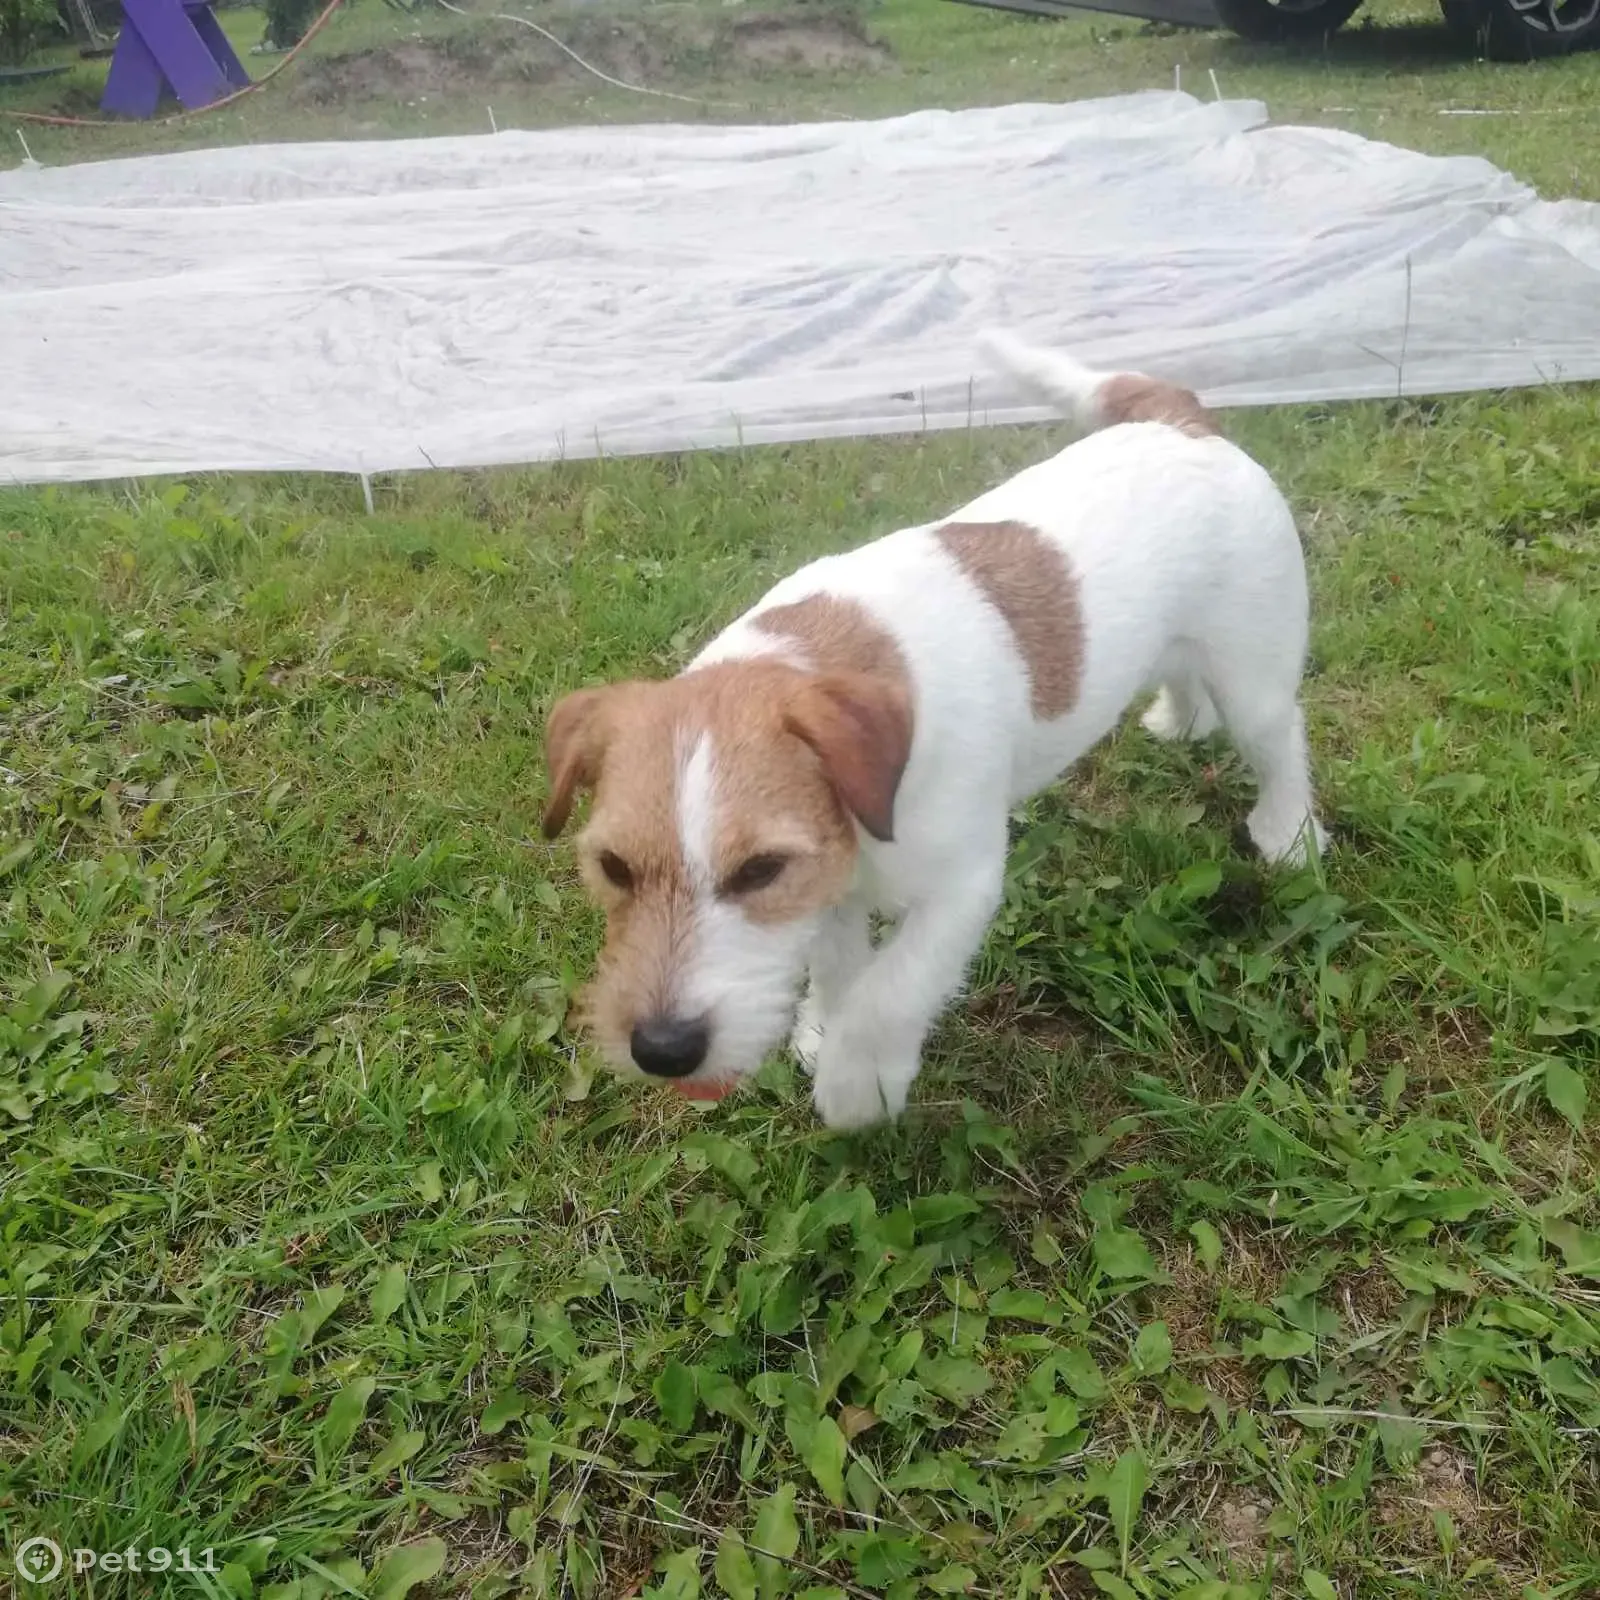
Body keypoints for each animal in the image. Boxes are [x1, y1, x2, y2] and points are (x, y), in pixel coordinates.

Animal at [541, 331, 1327, 1129]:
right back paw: (1179, 719)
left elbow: (894, 989)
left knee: (1279, 737)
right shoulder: (833, 882)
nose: (662, 1050)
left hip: (1254, 671)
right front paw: (824, 1028)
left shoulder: (963, 884)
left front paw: (859, 1082)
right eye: (613, 868)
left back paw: (1289, 834)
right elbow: (839, 964)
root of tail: (1180, 421)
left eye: (759, 870)